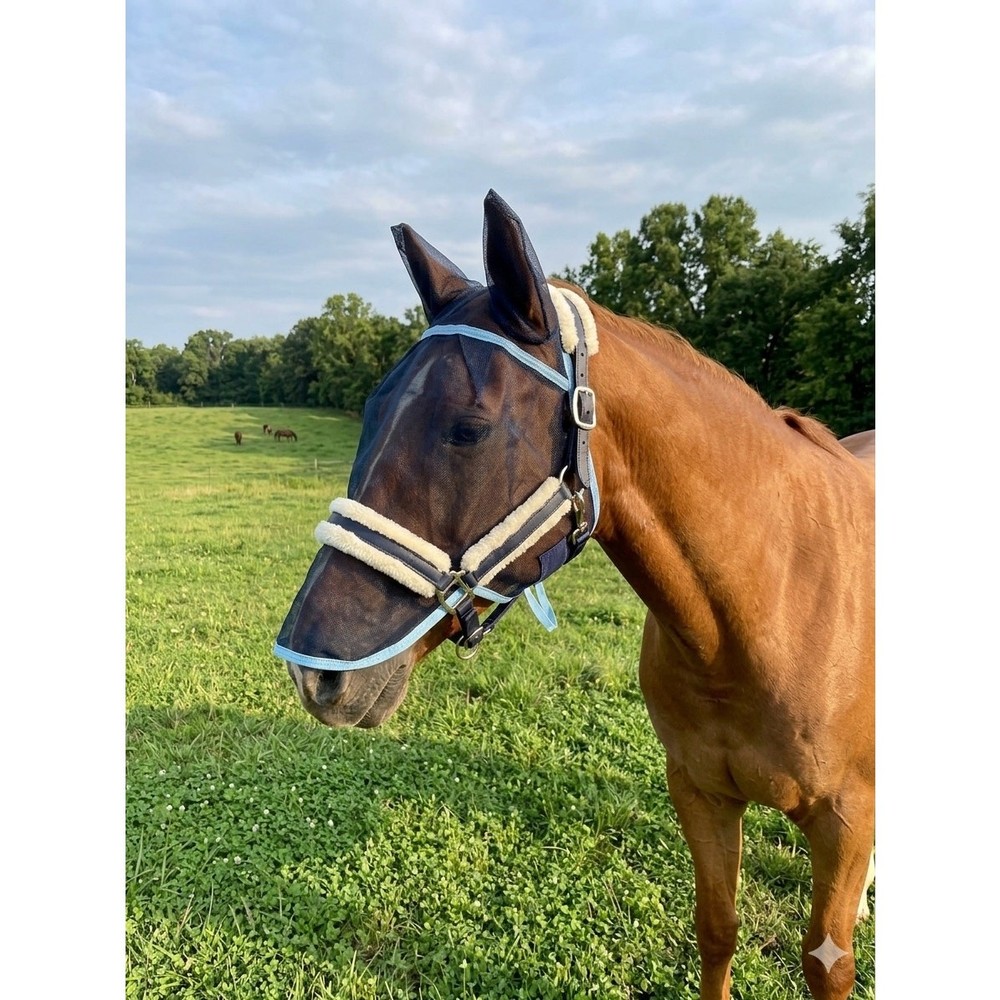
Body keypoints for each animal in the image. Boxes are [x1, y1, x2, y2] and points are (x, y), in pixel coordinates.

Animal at [275, 191, 874, 1000]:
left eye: (470, 429)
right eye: (370, 413)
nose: (314, 675)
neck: (770, 606)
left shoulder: (843, 823)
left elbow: (826, 965)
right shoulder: (702, 794)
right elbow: (717, 930)